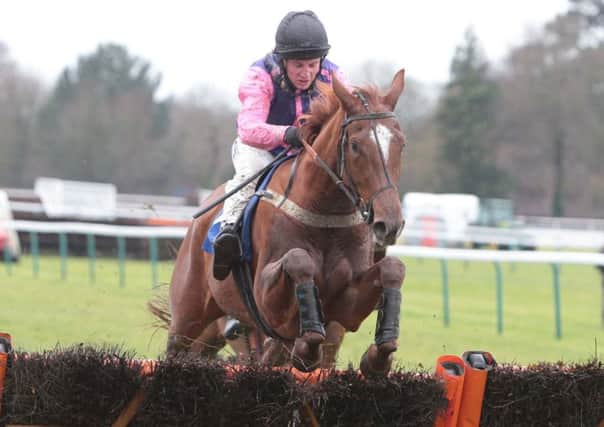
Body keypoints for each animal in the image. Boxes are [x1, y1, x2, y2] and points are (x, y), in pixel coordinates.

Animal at [156, 70, 408, 378]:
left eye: (401, 143)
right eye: (356, 145)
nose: (390, 224)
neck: (323, 213)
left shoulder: (343, 308)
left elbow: (393, 268)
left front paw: (378, 355)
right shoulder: (265, 301)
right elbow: (299, 260)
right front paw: (308, 343)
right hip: (188, 315)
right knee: (177, 348)